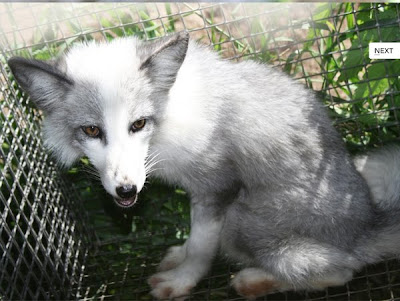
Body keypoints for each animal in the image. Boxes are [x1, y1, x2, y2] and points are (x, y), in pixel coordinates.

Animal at [7, 31, 400, 298]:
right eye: (91, 130)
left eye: (138, 124)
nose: (126, 190)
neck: (167, 118)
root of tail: (368, 224)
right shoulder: (196, 192)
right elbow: (192, 236)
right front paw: (178, 256)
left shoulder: (219, 188)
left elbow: (201, 246)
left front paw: (182, 281)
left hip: (242, 218)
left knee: (341, 271)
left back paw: (256, 279)